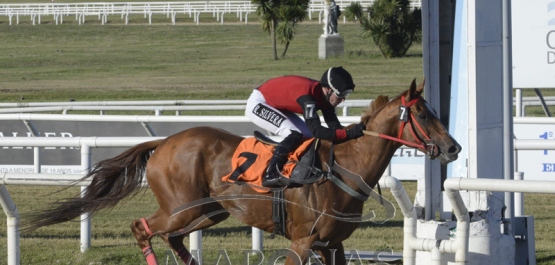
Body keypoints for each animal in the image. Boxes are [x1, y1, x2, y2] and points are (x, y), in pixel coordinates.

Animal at [23, 79, 460, 264]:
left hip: (209, 211)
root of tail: (162, 143)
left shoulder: (332, 245)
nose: (454, 147)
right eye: (423, 114)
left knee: (174, 240)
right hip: (179, 208)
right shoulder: (303, 242)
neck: (345, 168)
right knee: (143, 228)